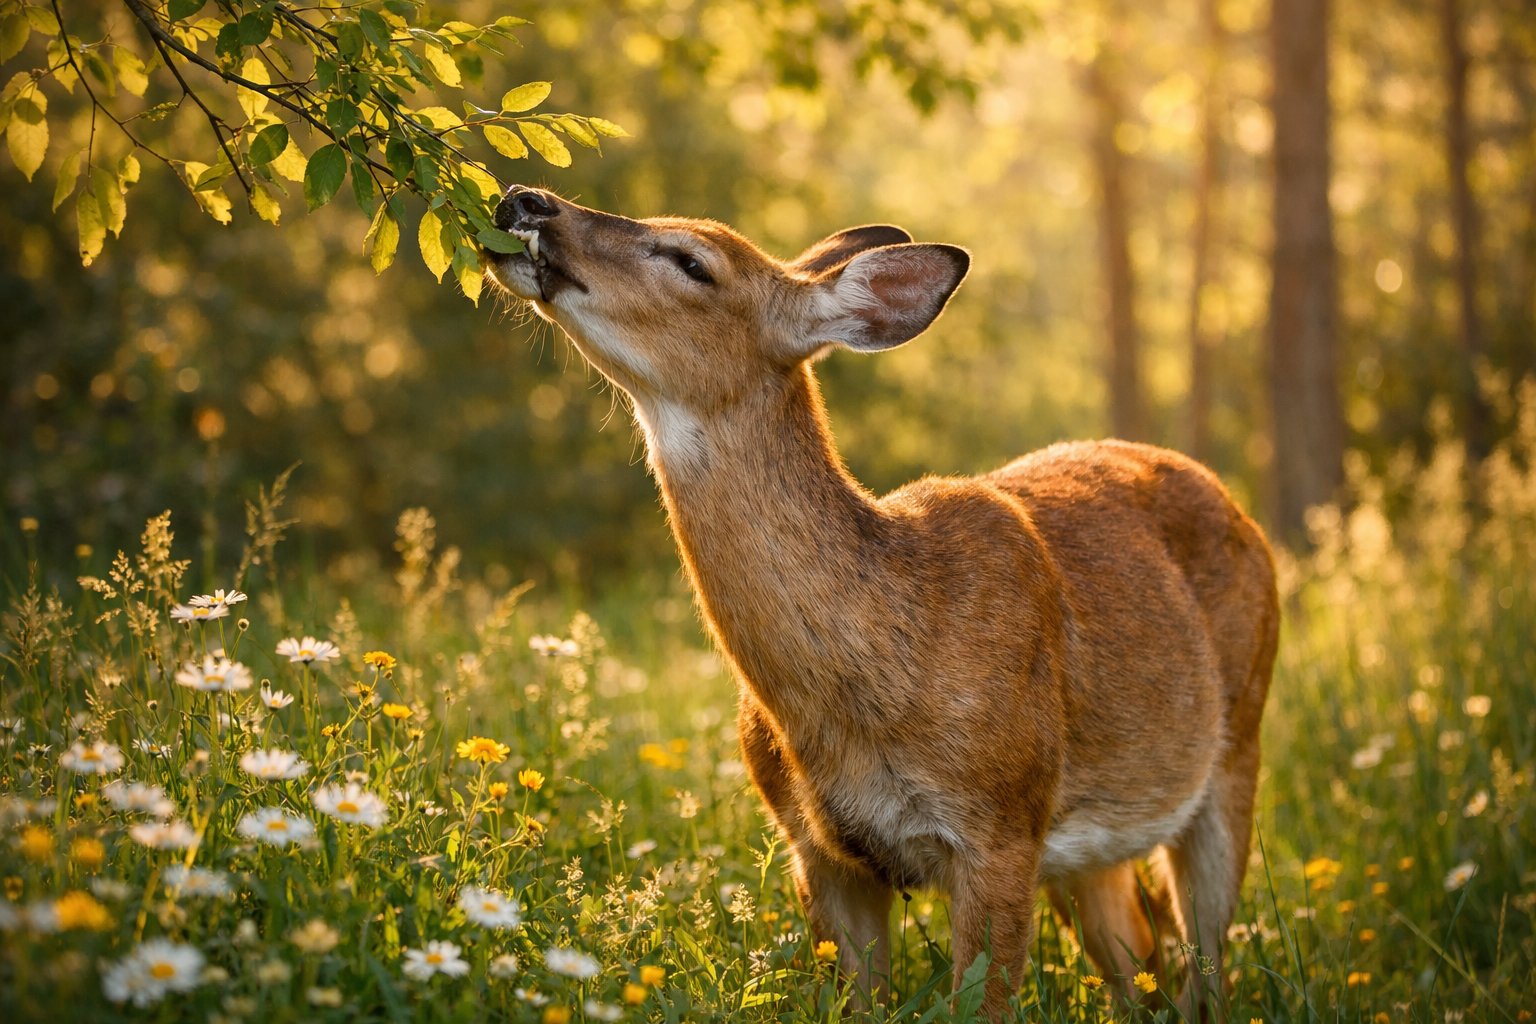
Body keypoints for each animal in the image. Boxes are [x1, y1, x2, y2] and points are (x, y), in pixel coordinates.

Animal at [484, 185, 1279, 1021]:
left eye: (691, 260)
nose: (527, 199)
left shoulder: (1002, 824)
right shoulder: (815, 848)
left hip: (1238, 744)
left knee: (1206, 970)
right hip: (1093, 856)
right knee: (1140, 965)